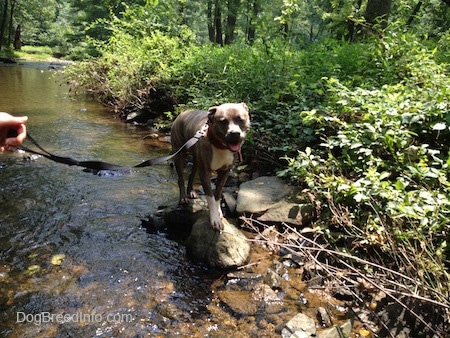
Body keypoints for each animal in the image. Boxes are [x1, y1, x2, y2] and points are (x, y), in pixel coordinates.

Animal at [171, 101, 251, 231]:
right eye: (223, 121)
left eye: (240, 119)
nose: (234, 133)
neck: (220, 145)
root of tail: (184, 112)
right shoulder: (205, 172)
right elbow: (210, 196)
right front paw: (215, 219)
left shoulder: (225, 172)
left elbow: (217, 195)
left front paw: (218, 212)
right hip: (179, 154)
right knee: (181, 178)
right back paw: (183, 197)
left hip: (197, 160)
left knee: (192, 174)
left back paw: (191, 191)